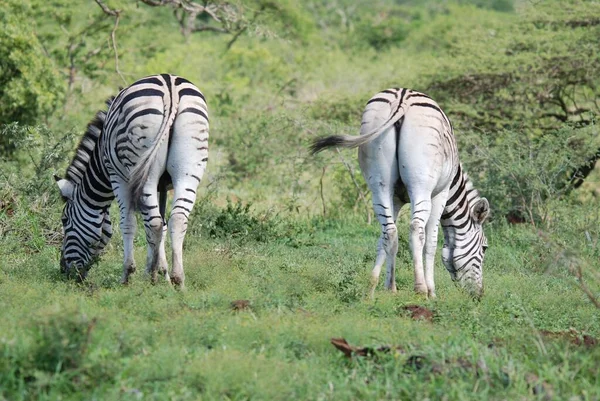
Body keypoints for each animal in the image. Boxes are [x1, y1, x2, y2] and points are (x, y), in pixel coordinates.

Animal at [55, 74, 209, 288]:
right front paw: (162, 273)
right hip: (188, 169)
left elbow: (128, 223)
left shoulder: (118, 177)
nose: (64, 271)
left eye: (64, 220)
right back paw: (178, 279)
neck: (100, 162)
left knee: (153, 222)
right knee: (176, 219)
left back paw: (148, 275)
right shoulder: (162, 187)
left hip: (142, 168)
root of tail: (170, 86)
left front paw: (130, 274)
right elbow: (161, 225)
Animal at [312, 89, 490, 298]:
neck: (454, 183)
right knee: (416, 230)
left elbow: (384, 240)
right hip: (421, 184)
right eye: (484, 248)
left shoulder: (395, 199)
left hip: (379, 183)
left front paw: (380, 286)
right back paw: (420, 288)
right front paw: (432, 291)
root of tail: (402, 97)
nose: (479, 295)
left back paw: (382, 288)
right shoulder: (441, 194)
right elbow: (431, 242)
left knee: (389, 231)